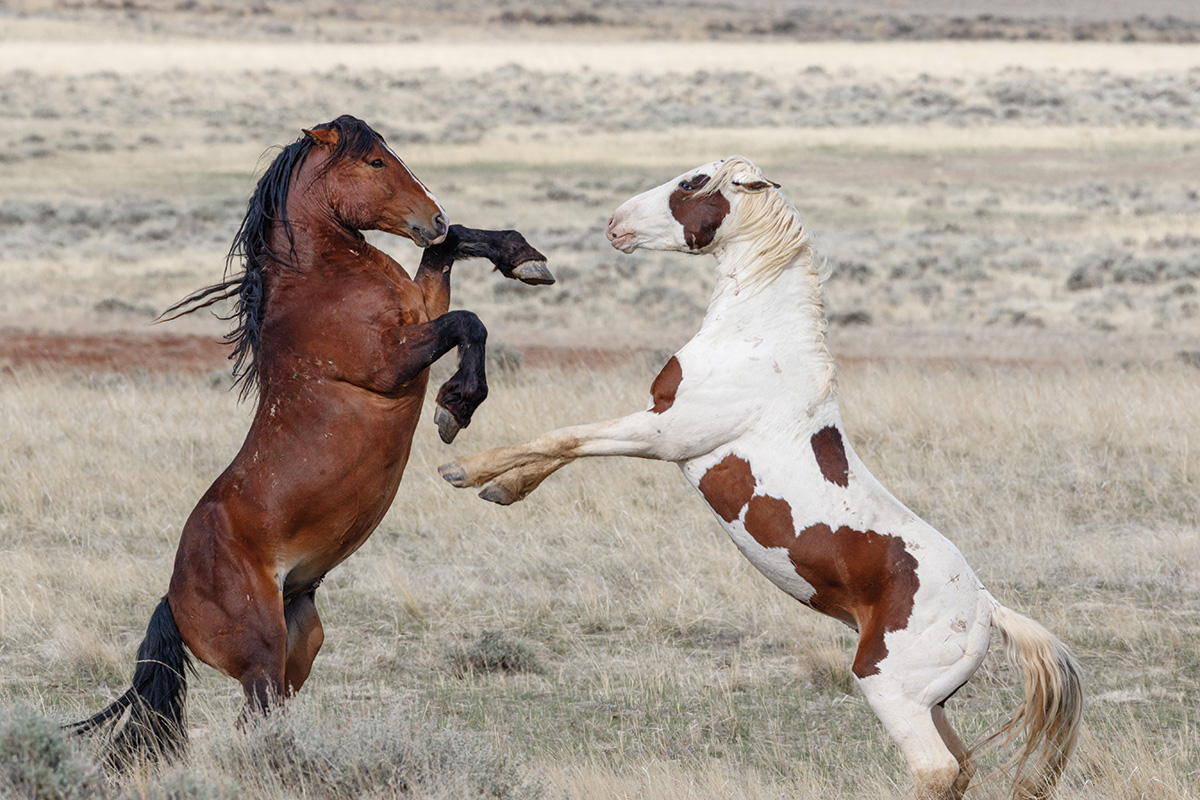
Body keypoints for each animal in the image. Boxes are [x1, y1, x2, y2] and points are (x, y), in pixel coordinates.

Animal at [68, 115, 549, 762]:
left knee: (261, 717)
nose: (436, 216)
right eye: (375, 162)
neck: (323, 276)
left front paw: (524, 258)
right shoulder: (390, 360)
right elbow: (468, 321)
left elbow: (446, 262)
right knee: (256, 721)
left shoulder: (421, 306)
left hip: (301, 643)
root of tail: (174, 597)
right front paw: (457, 405)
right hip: (263, 653)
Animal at [439, 158, 1080, 800]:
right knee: (961, 765)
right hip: (932, 703)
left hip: (890, 691)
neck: (758, 343)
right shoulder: (659, 423)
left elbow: (567, 437)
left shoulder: (669, 433)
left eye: (693, 182)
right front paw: (501, 488)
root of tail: (987, 609)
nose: (615, 224)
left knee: (936, 770)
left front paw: (462, 466)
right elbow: (565, 446)